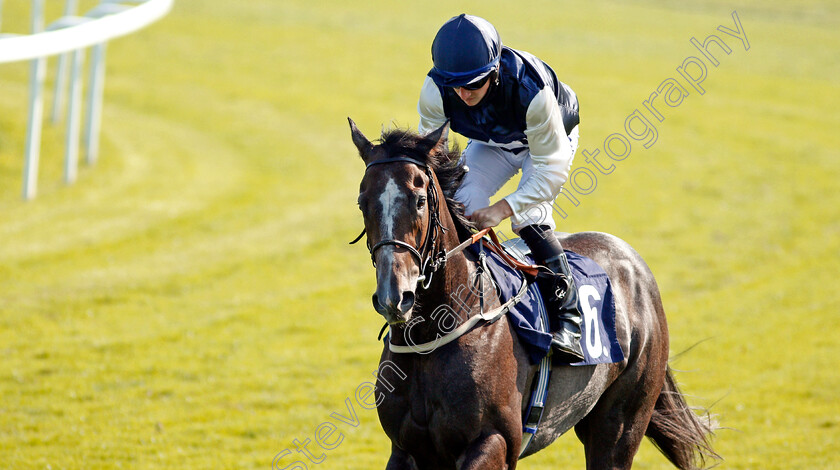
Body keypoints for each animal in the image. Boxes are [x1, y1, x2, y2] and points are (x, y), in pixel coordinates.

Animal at [348, 118, 716, 470]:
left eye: (420, 201)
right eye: (362, 202)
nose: (394, 297)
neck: (433, 335)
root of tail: (635, 263)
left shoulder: (495, 442)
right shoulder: (407, 450)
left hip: (621, 423)